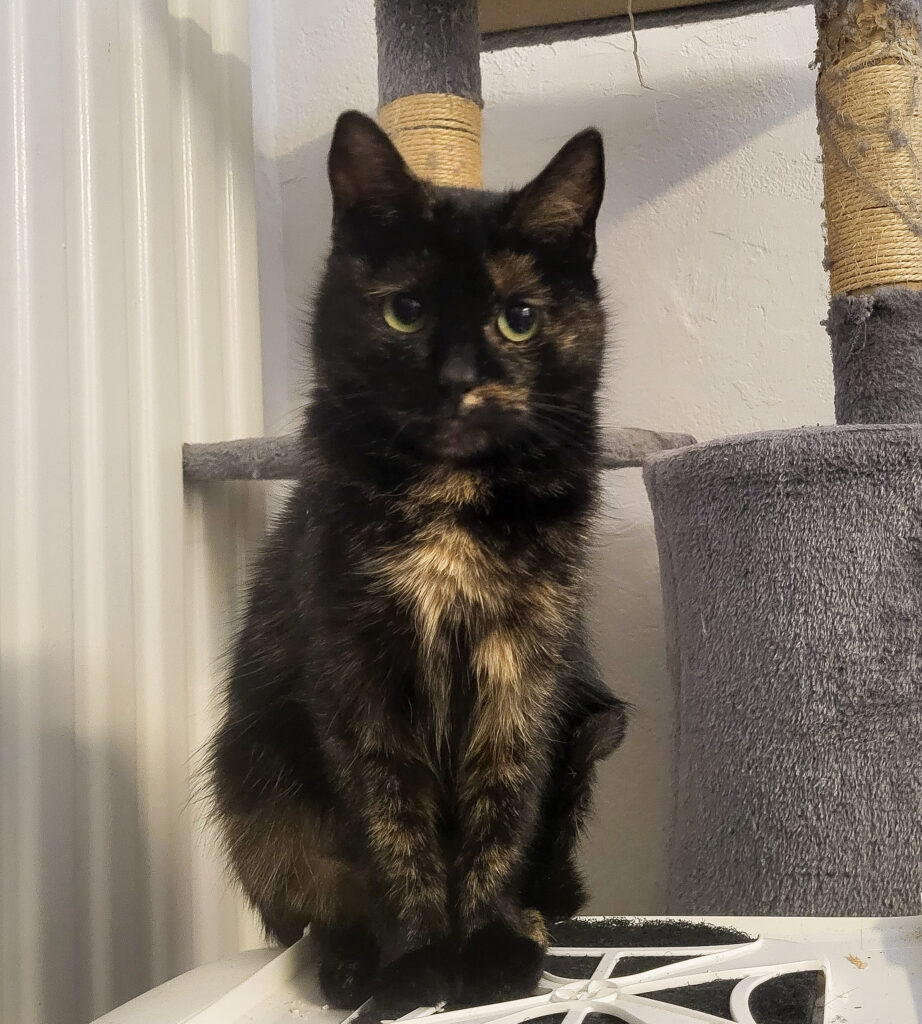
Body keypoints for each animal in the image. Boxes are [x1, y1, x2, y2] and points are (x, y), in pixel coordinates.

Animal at [208, 110, 627, 1015]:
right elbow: (391, 820)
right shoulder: (359, 671)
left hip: (593, 725)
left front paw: (490, 950)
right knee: (315, 903)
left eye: (519, 317)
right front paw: (417, 960)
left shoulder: (524, 671)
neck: (452, 500)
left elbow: (502, 809)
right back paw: (351, 964)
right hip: (253, 776)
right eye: (405, 311)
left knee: (554, 878)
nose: (459, 379)